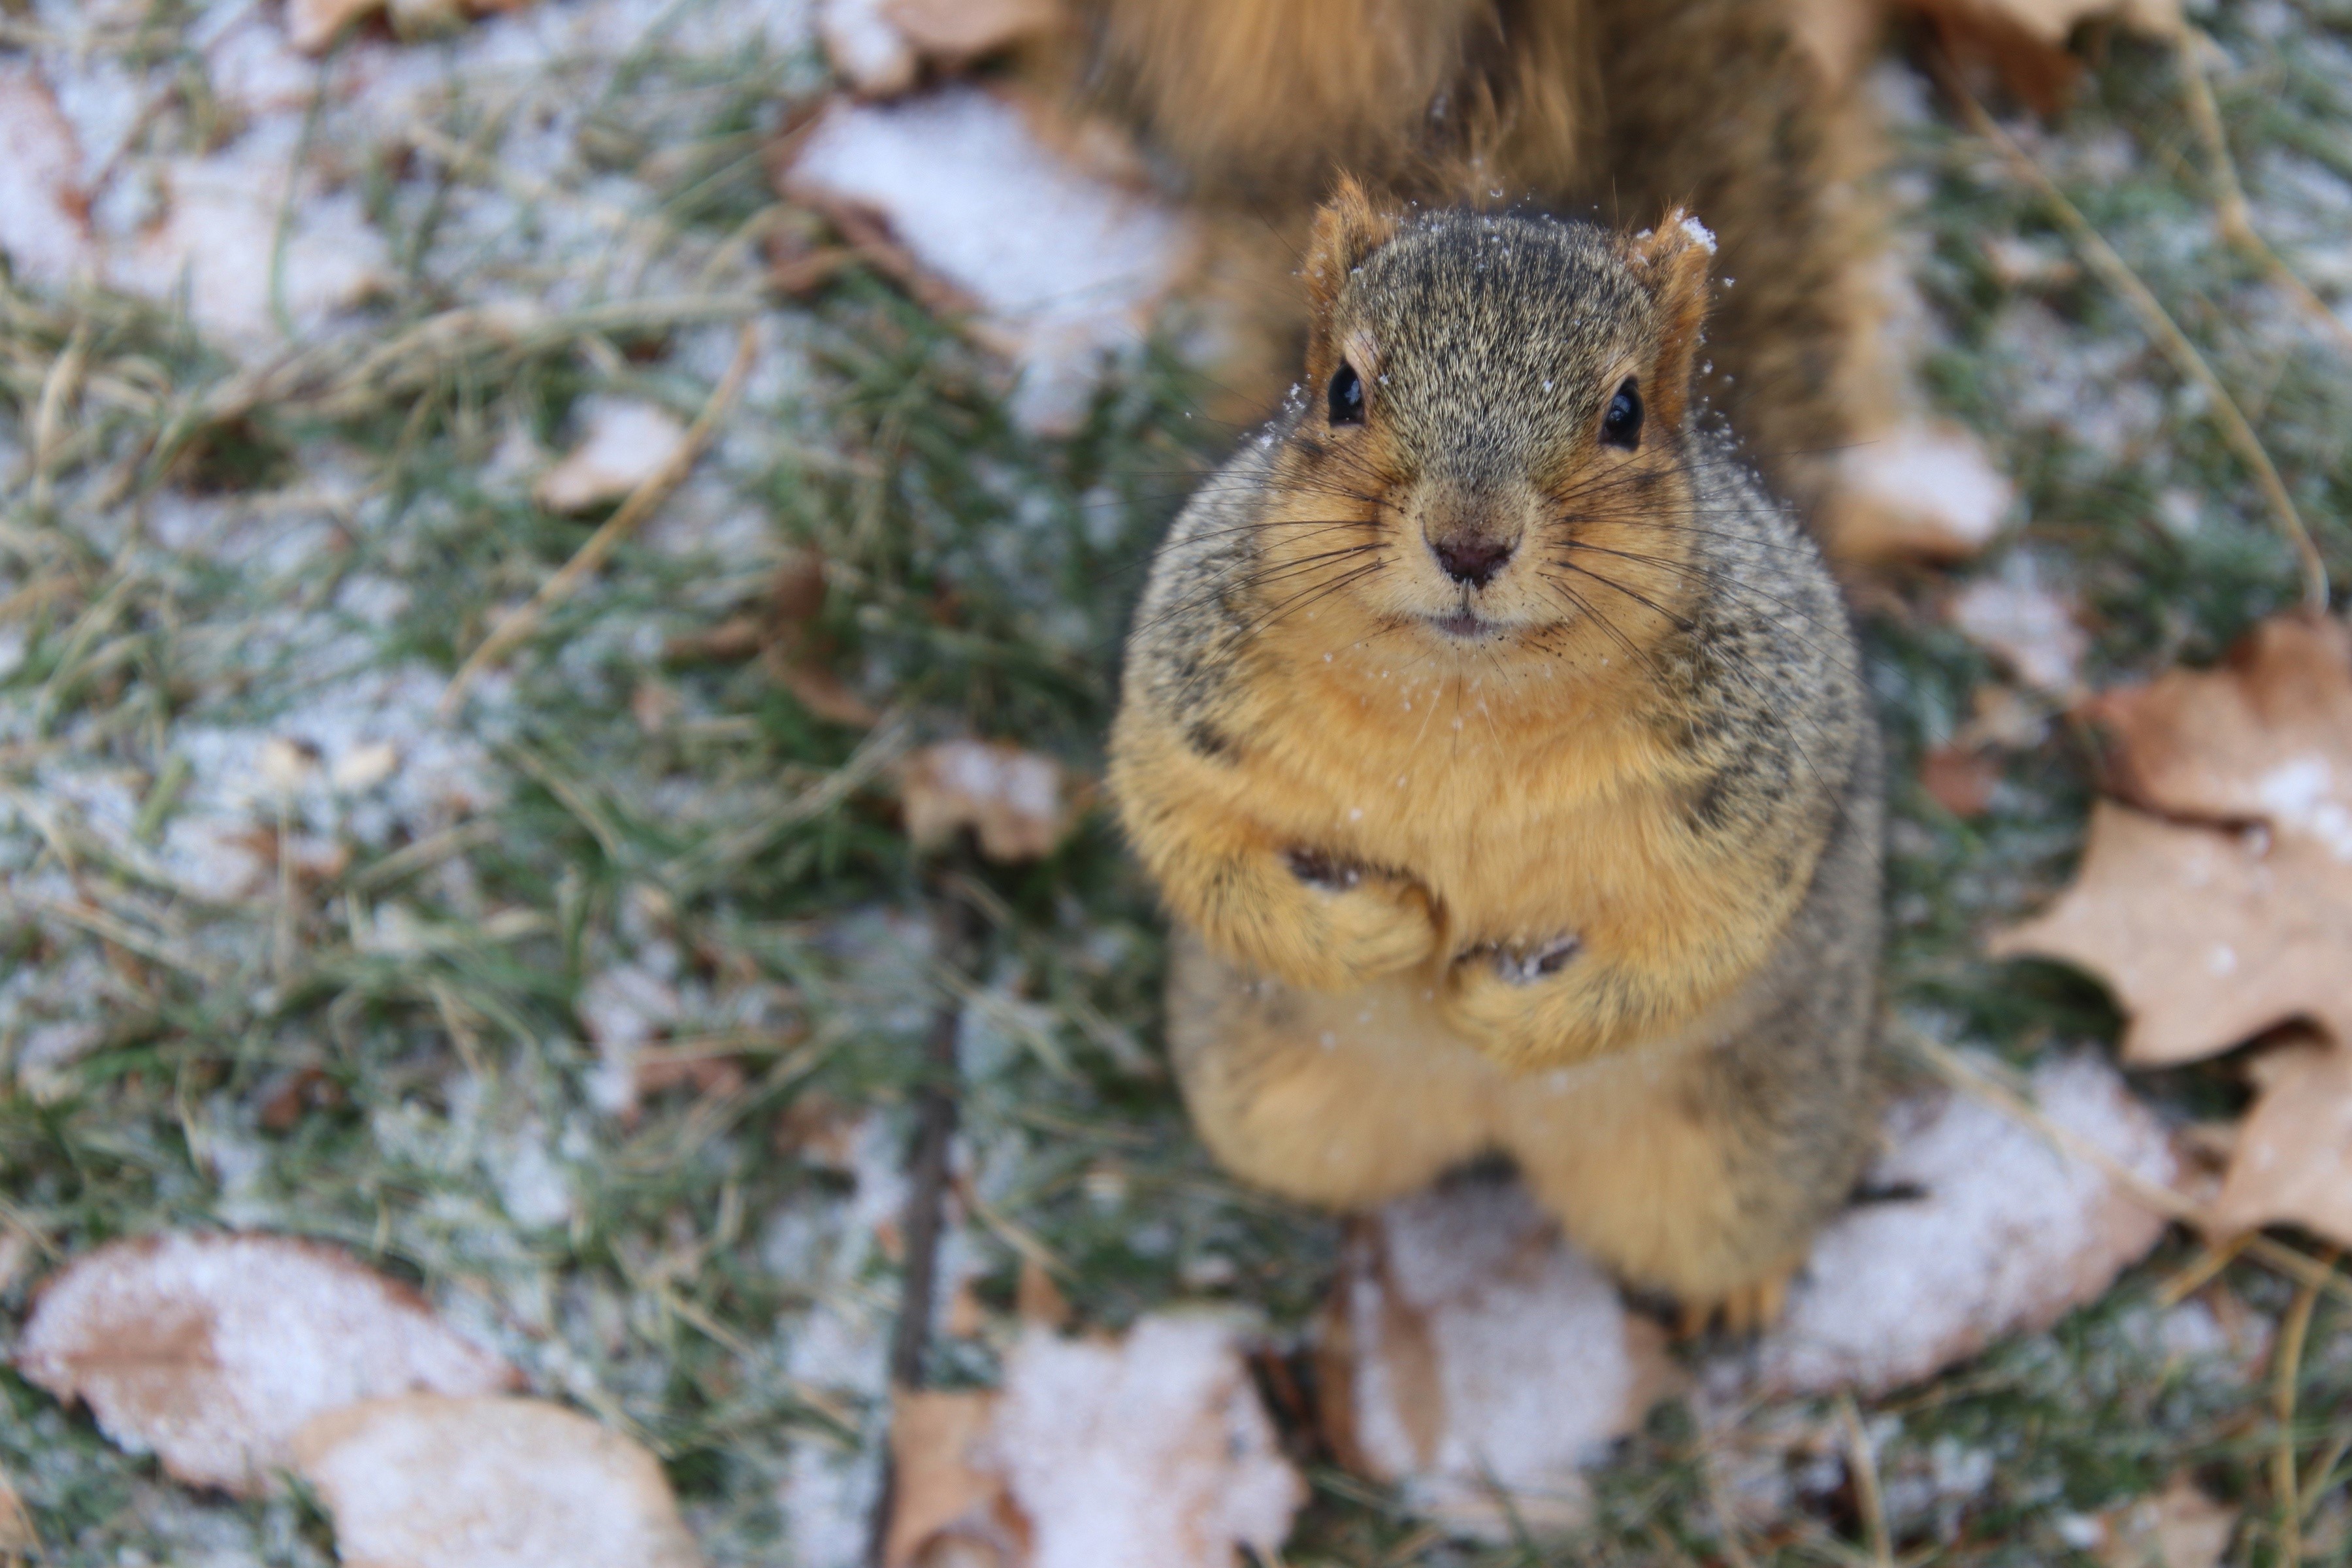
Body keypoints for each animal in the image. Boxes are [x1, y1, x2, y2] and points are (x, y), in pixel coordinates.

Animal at [1108, 182, 1884, 1327]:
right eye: (1342, 389)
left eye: (1625, 413)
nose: (1470, 544)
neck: (1465, 707)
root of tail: (1494, 1128)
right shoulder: (1185, 715)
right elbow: (1191, 843)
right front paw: (1378, 930)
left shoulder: (1760, 792)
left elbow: (1701, 940)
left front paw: (1505, 1010)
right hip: (1263, 1101)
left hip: (1747, 1157)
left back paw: (1737, 1292)